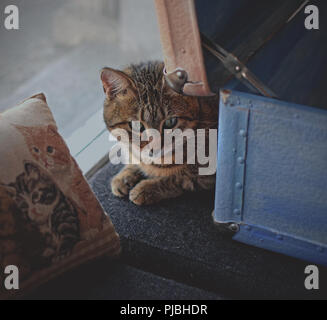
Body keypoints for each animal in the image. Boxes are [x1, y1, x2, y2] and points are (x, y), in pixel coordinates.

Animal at [101, 61, 219, 205]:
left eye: (170, 122)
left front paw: (145, 188)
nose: (155, 149)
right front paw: (124, 175)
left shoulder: (207, 173)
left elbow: (176, 178)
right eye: (137, 125)